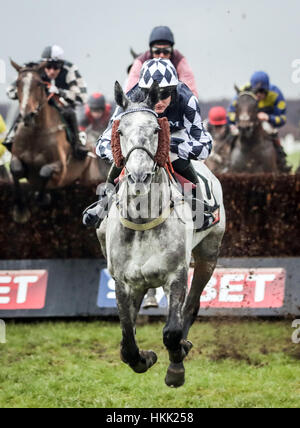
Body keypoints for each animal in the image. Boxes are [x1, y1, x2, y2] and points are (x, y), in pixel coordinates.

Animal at [9, 61, 109, 224]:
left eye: (38, 84)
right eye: (18, 83)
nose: (27, 115)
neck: (36, 132)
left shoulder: (61, 169)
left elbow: (45, 172)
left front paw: (42, 197)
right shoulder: (16, 157)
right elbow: (16, 169)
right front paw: (20, 210)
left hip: (88, 177)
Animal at [96, 81, 225, 388]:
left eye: (156, 130)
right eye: (120, 131)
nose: (138, 176)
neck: (143, 219)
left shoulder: (176, 275)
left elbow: (172, 331)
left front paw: (176, 366)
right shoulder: (123, 281)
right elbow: (127, 342)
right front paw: (144, 357)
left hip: (208, 254)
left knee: (192, 305)